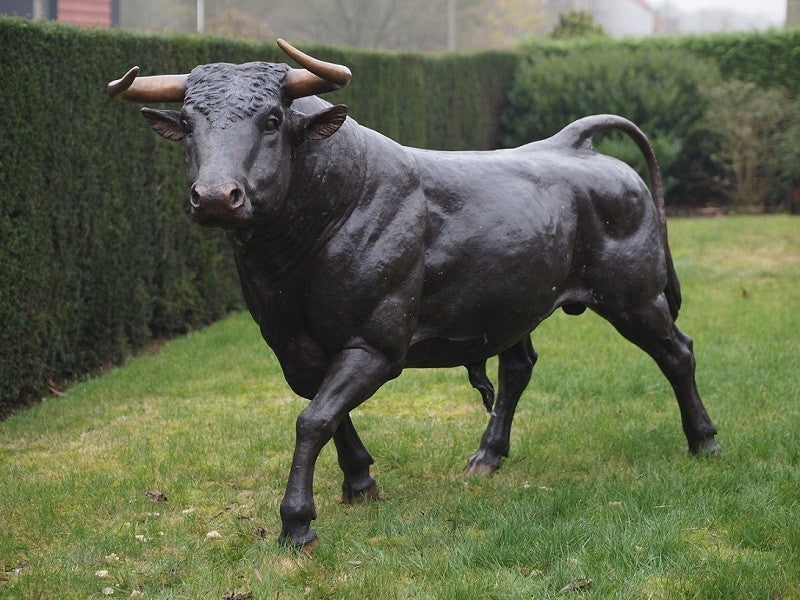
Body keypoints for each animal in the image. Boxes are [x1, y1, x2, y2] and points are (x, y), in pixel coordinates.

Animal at [108, 39, 718, 549]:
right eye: (188, 123)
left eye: (273, 118)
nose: (216, 196)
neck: (297, 253)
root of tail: (576, 145)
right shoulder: (293, 346)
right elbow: (326, 412)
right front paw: (360, 482)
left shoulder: (376, 342)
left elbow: (313, 420)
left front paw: (297, 522)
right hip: (513, 306)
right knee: (518, 368)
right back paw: (487, 457)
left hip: (636, 298)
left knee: (677, 352)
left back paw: (705, 441)